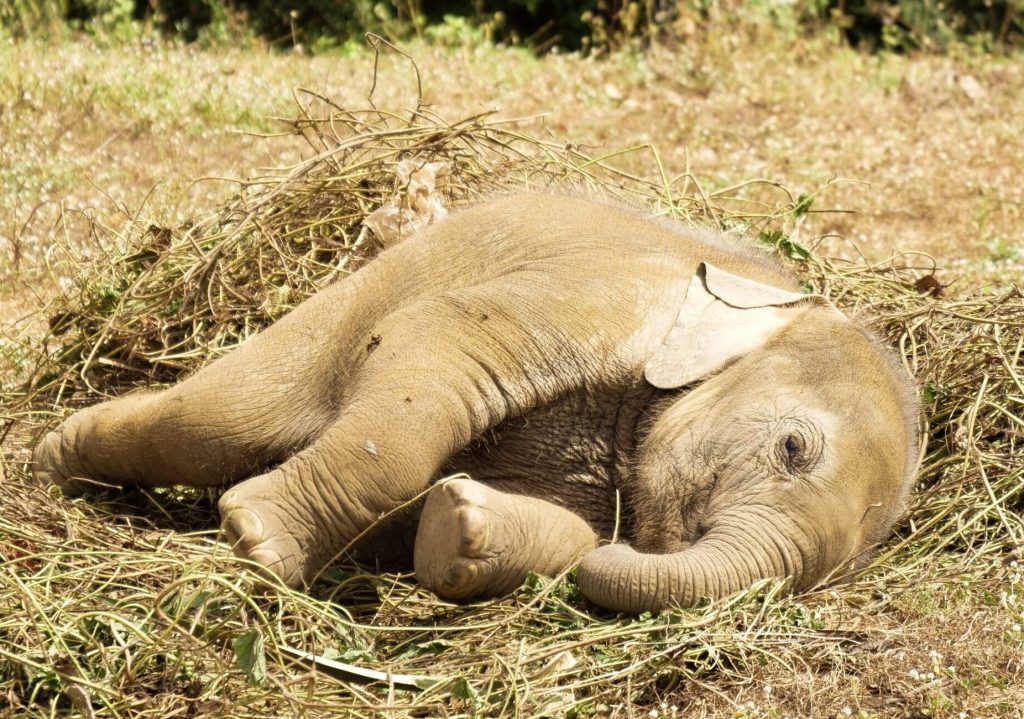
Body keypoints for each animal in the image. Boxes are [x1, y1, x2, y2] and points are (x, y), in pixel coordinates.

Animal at [32, 192, 920, 613]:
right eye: (793, 448)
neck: (784, 296)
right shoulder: (601, 294)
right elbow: (434, 337)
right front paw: (258, 539)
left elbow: (571, 534)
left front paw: (458, 526)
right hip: (353, 300)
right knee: (223, 418)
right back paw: (54, 462)